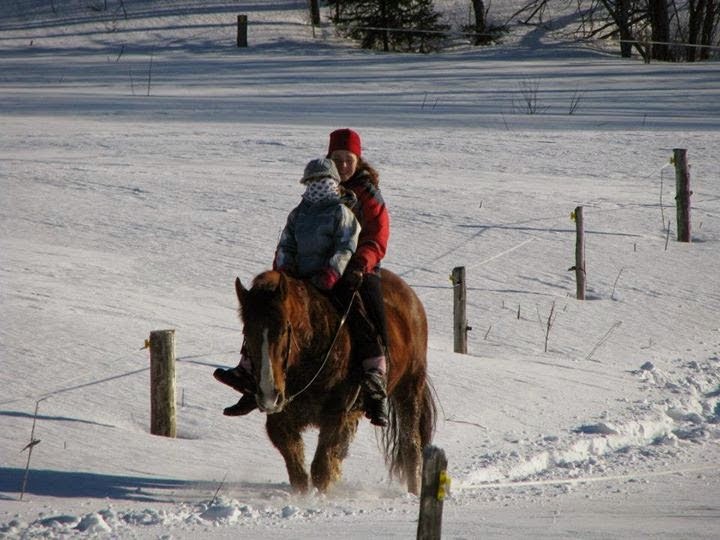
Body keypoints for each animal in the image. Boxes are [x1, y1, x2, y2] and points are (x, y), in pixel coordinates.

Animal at [233, 268, 436, 496]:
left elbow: (320, 469)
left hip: (410, 386)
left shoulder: (336, 415)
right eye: (247, 332)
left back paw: (413, 493)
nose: (268, 394)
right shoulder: (280, 420)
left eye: (284, 330)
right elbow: (298, 471)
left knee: (411, 444)